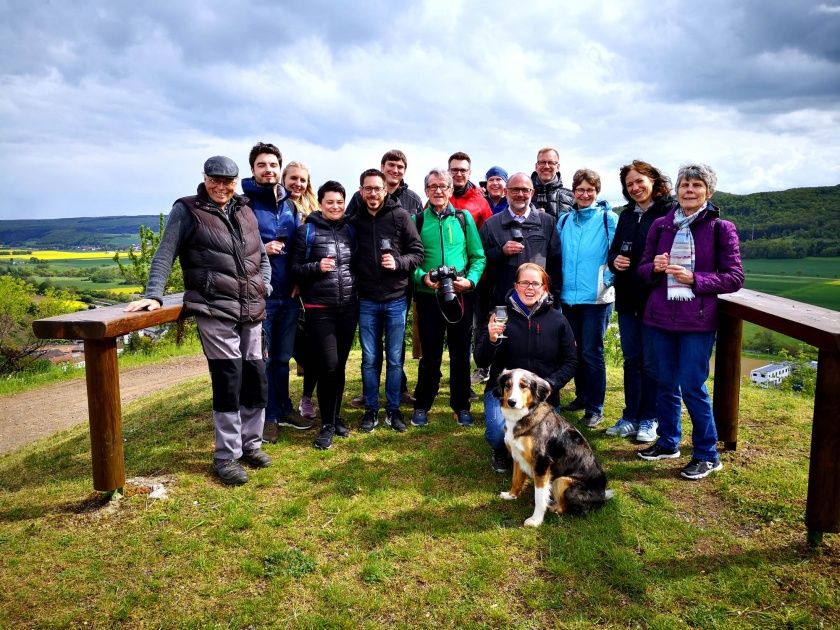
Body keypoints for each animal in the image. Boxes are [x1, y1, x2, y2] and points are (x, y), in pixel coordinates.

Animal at [496, 370, 612, 528]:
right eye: (507, 385)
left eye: (523, 386)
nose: (511, 402)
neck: (525, 415)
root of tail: (602, 495)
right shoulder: (517, 456)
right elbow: (516, 480)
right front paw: (511, 495)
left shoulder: (542, 463)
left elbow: (539, 497)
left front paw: (536, 520)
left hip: (562, 480)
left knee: (566, 508)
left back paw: (553, 507)